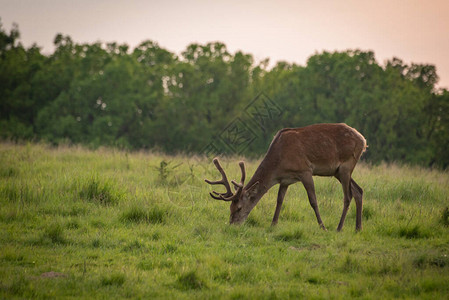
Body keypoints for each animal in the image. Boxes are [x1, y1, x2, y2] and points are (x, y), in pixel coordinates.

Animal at [205, 123, 366, 231]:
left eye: (238, 208)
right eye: (230, 208)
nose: (232, 225)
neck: (279, 161)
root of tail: (363, 140)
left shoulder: (305, 171)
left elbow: (313, 200)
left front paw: (322, 226)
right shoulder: (284, 180)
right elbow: (279, 200)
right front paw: (273, 224)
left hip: (346, 165)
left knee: (348, 196)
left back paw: (339, 228)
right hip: (337, 171)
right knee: (358, 190)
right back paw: (358, 228)